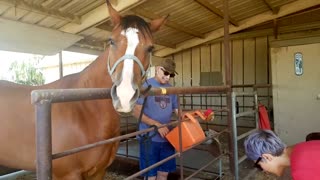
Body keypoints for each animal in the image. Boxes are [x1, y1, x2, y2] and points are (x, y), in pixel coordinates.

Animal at [0, 0, 166, 179]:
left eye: (150, 48)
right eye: (111, 41)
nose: (124, 95)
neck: (84, 109)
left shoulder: (99, 171)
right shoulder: (68, 174)